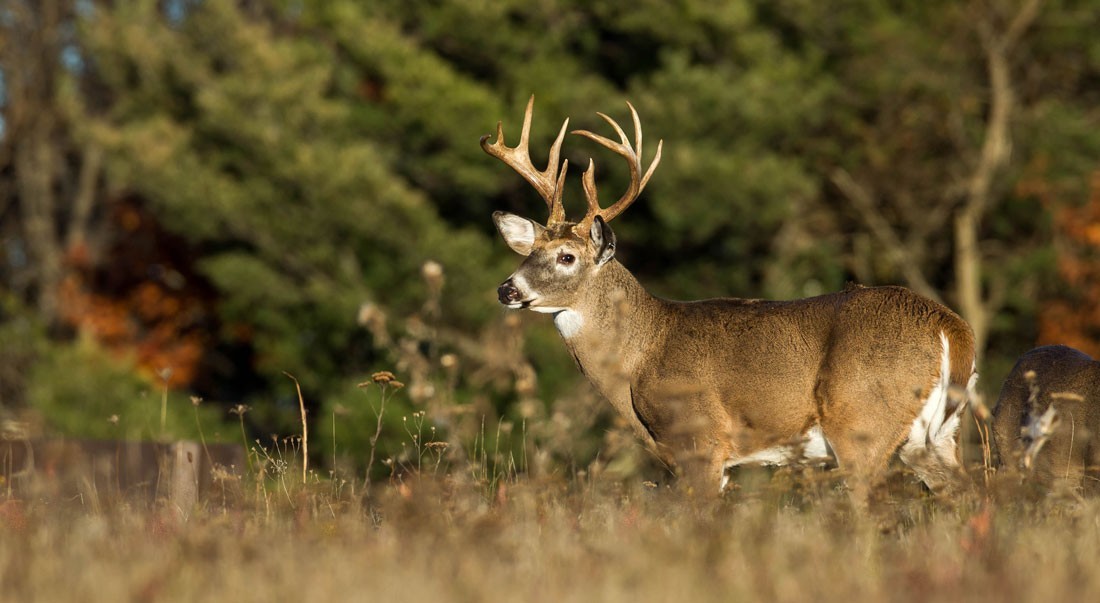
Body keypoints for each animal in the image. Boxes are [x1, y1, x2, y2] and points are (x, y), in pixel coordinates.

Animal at [486, 95, 976, 499]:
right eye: (529, 251)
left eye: (566, 256)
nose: (506, 289)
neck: (640, 353)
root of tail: (949, 326)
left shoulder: (699, 439)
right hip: (933, 437)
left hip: (861, 421)